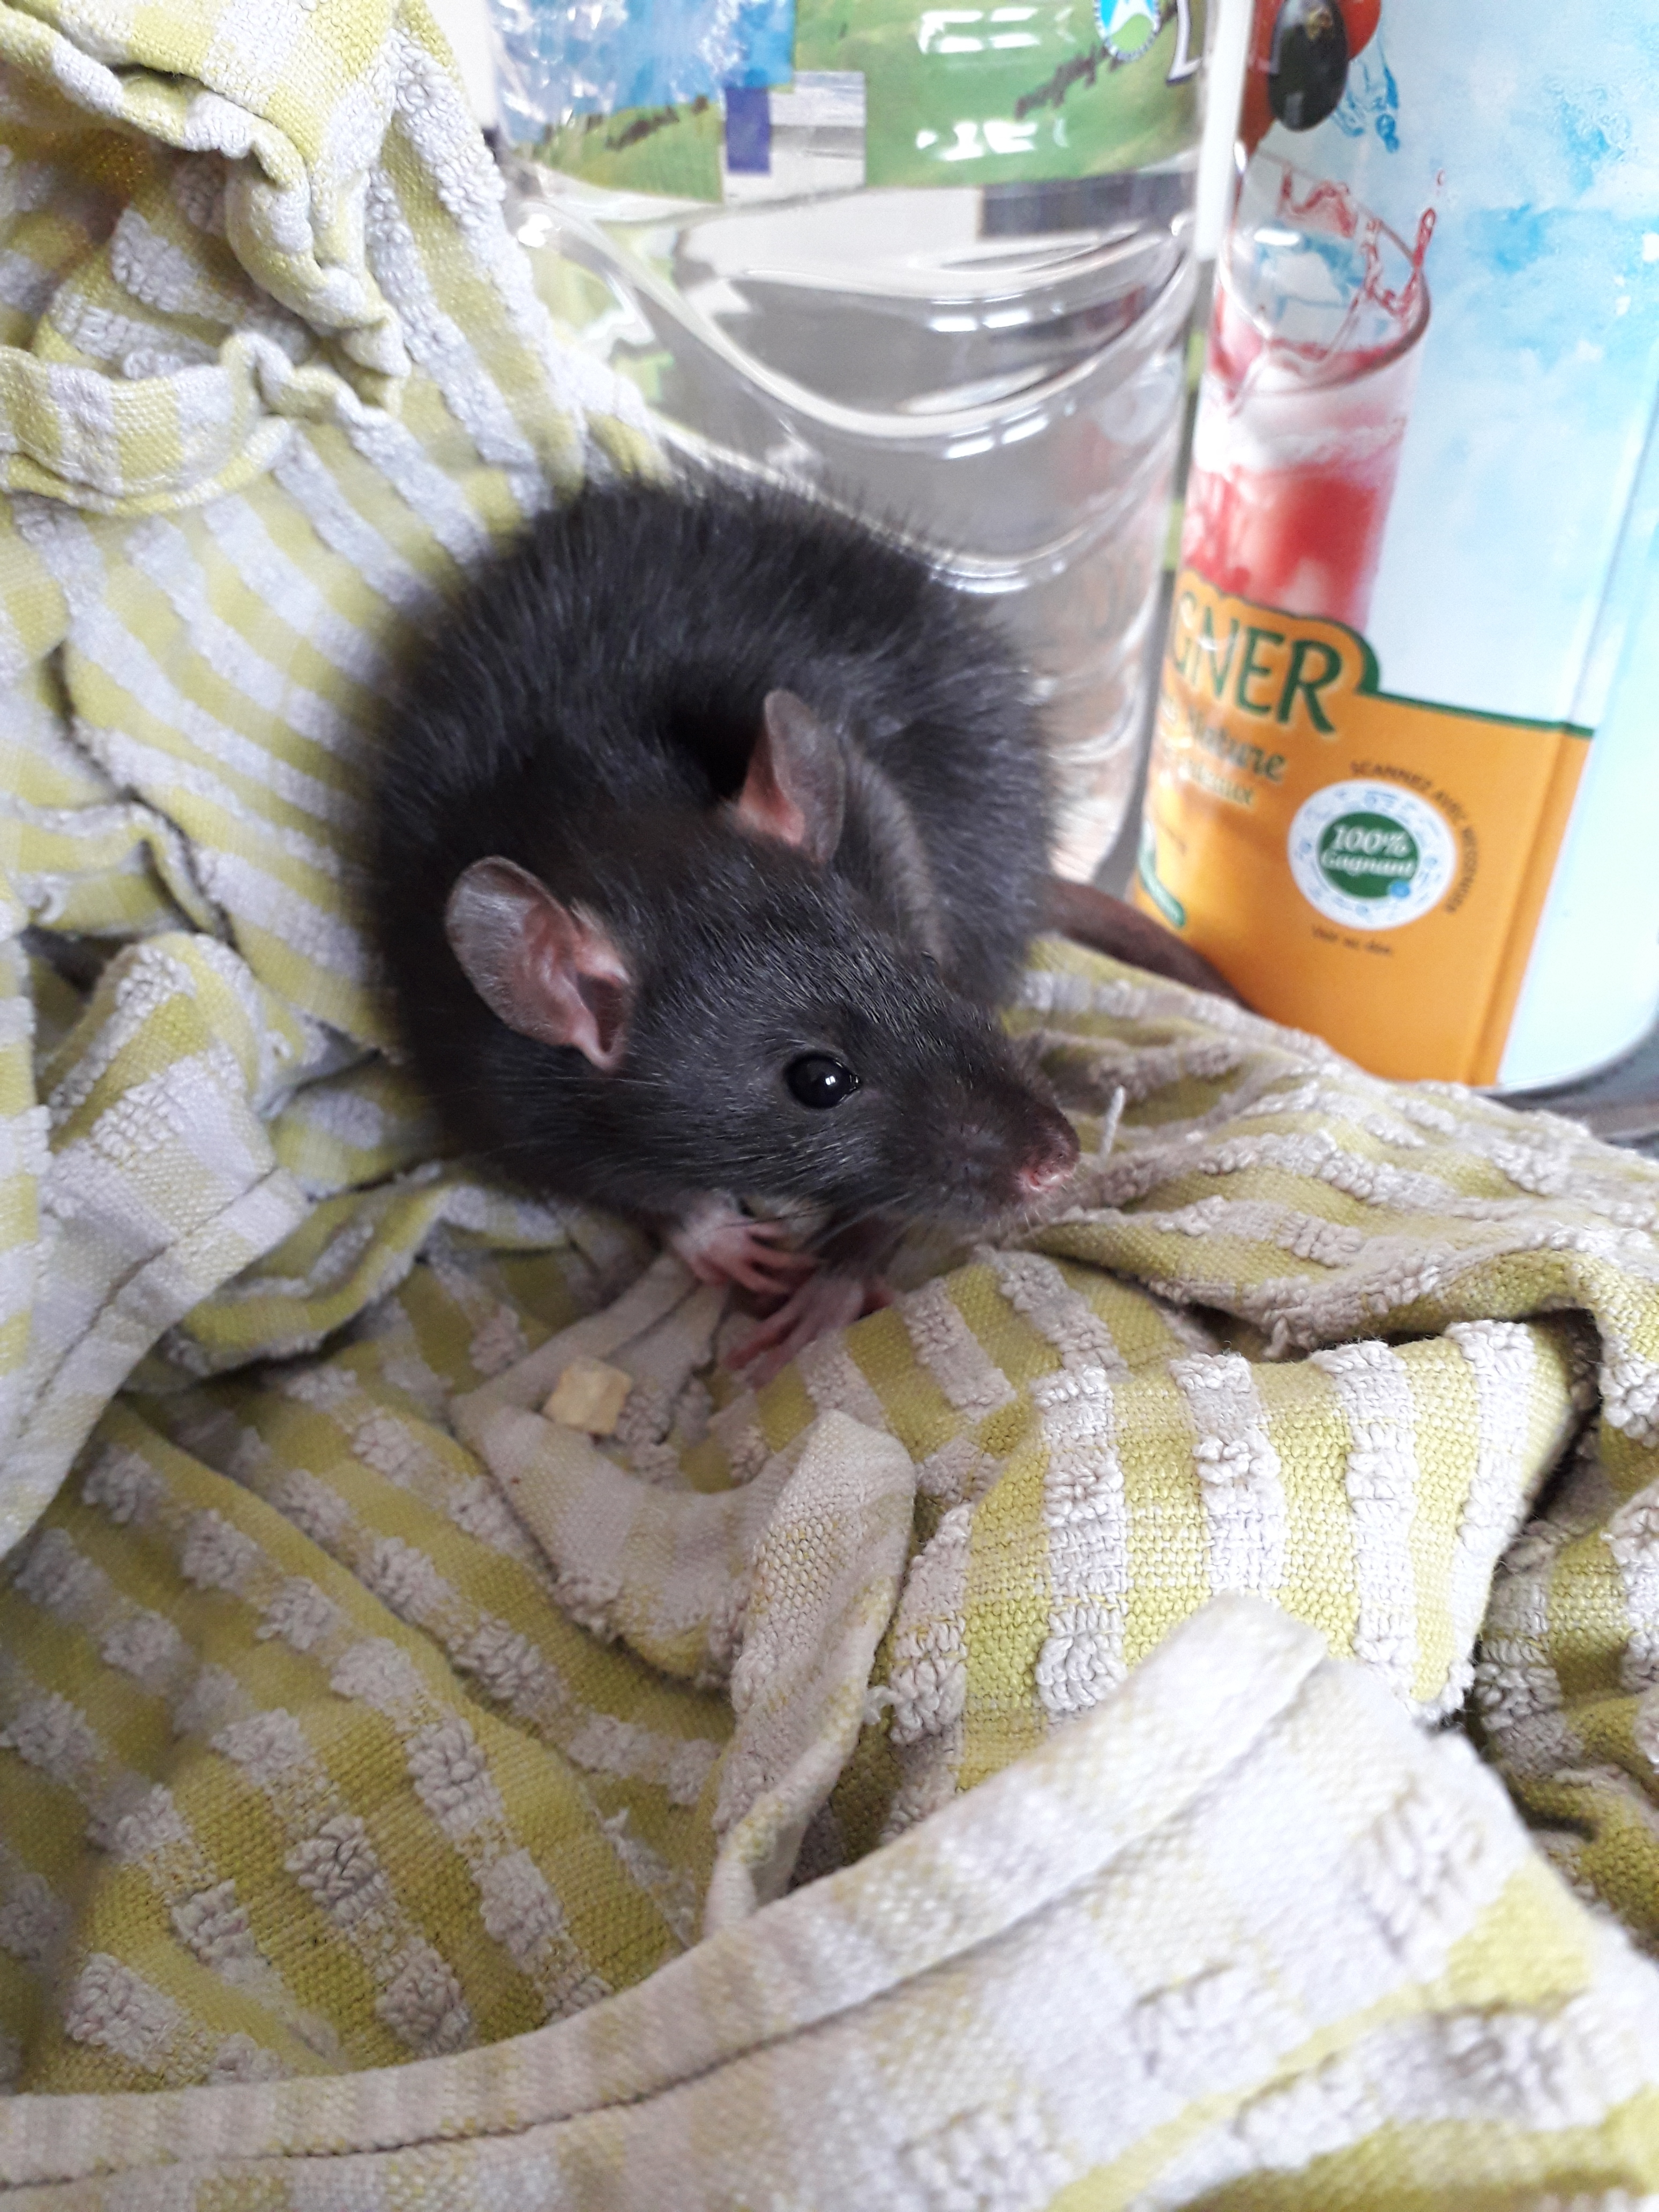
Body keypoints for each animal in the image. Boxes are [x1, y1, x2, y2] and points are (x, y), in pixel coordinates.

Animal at [370, 470, 1081, 1384]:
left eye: (930, 967)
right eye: (820, 1081)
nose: (1056, 1159)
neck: (604, 798)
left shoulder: (889, 835)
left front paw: (837, 1279)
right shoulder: (498, 1080)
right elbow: (604, 1176)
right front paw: (708, 1234)